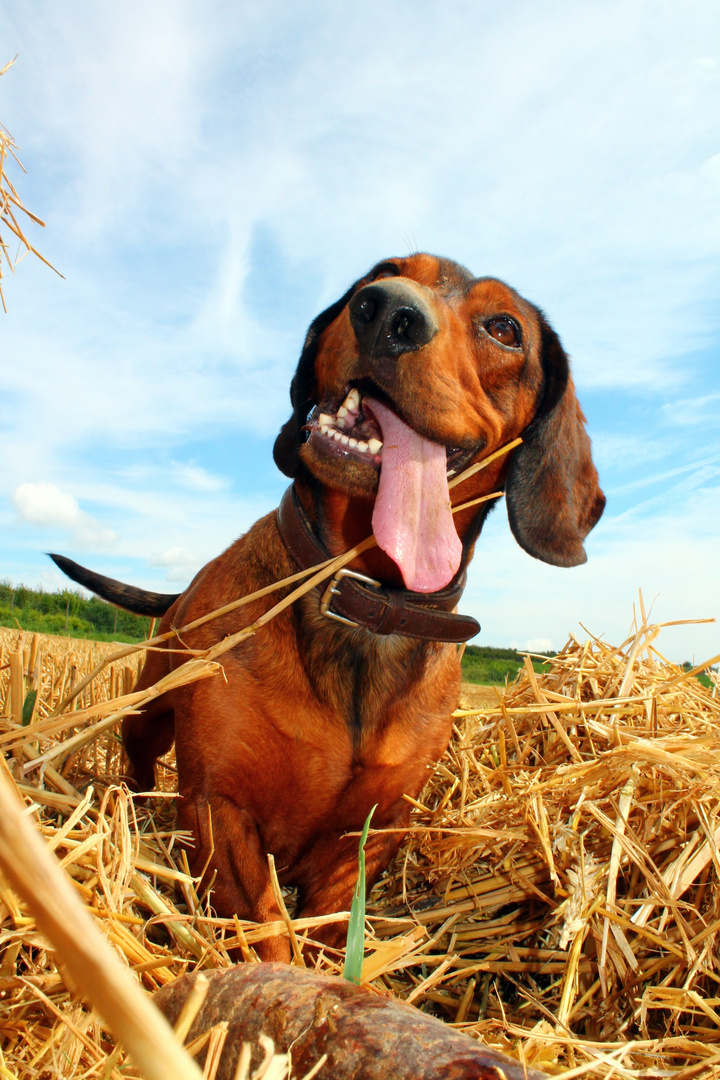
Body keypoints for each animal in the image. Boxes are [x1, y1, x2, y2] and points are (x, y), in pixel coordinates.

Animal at [52, 254, 604, 963]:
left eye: (504, 328)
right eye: (385, 272)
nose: (387, 311)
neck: (366, 597)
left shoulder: (369, 833)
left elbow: (326, 928)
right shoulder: (221, 807)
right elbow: (265, 934)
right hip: (149, 709)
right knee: (140, 758)